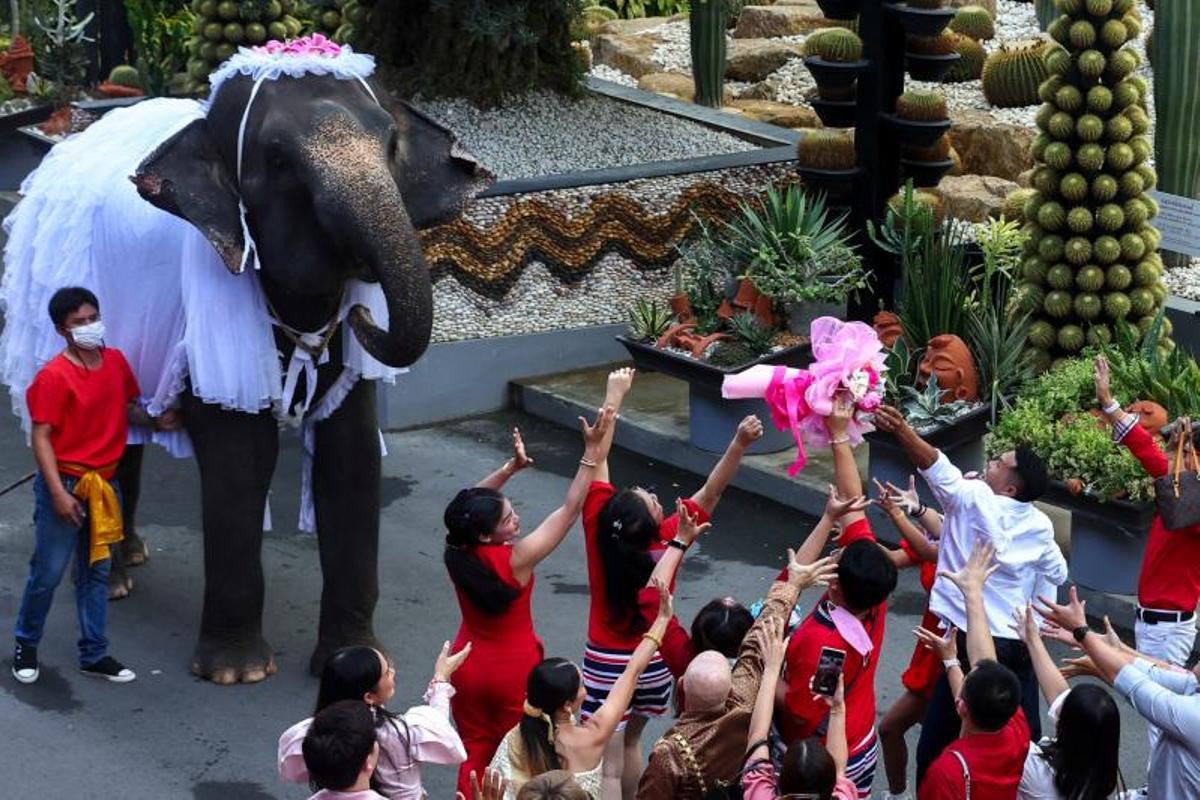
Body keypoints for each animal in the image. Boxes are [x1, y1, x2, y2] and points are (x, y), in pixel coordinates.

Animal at [0, 45, 492, 681]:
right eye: (278, 160)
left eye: (389, 142)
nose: (364, 313)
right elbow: (240, 459)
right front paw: (237, 672)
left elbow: (351, 455)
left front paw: (358, 661)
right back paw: (114, 582)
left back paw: (128, 558)